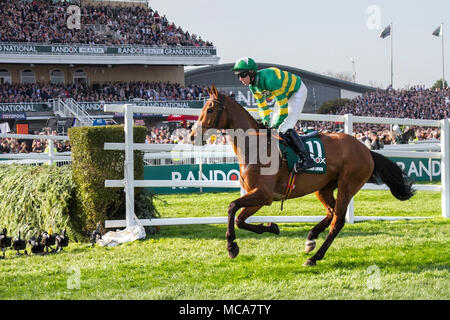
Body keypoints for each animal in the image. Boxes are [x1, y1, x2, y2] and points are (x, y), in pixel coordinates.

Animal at [191, 85, 414, 268]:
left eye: (209, 109)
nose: (193, 136)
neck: (255, 147)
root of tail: (366, 150)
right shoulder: (260, 197)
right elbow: (239, 218)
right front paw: (272, 227)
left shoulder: (264, 194)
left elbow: (232, 207)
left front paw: (231, 247)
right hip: (323, 188)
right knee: (332, 213)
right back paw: (311, 238)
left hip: (348, 185)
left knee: (338, 221)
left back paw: (314, 257)